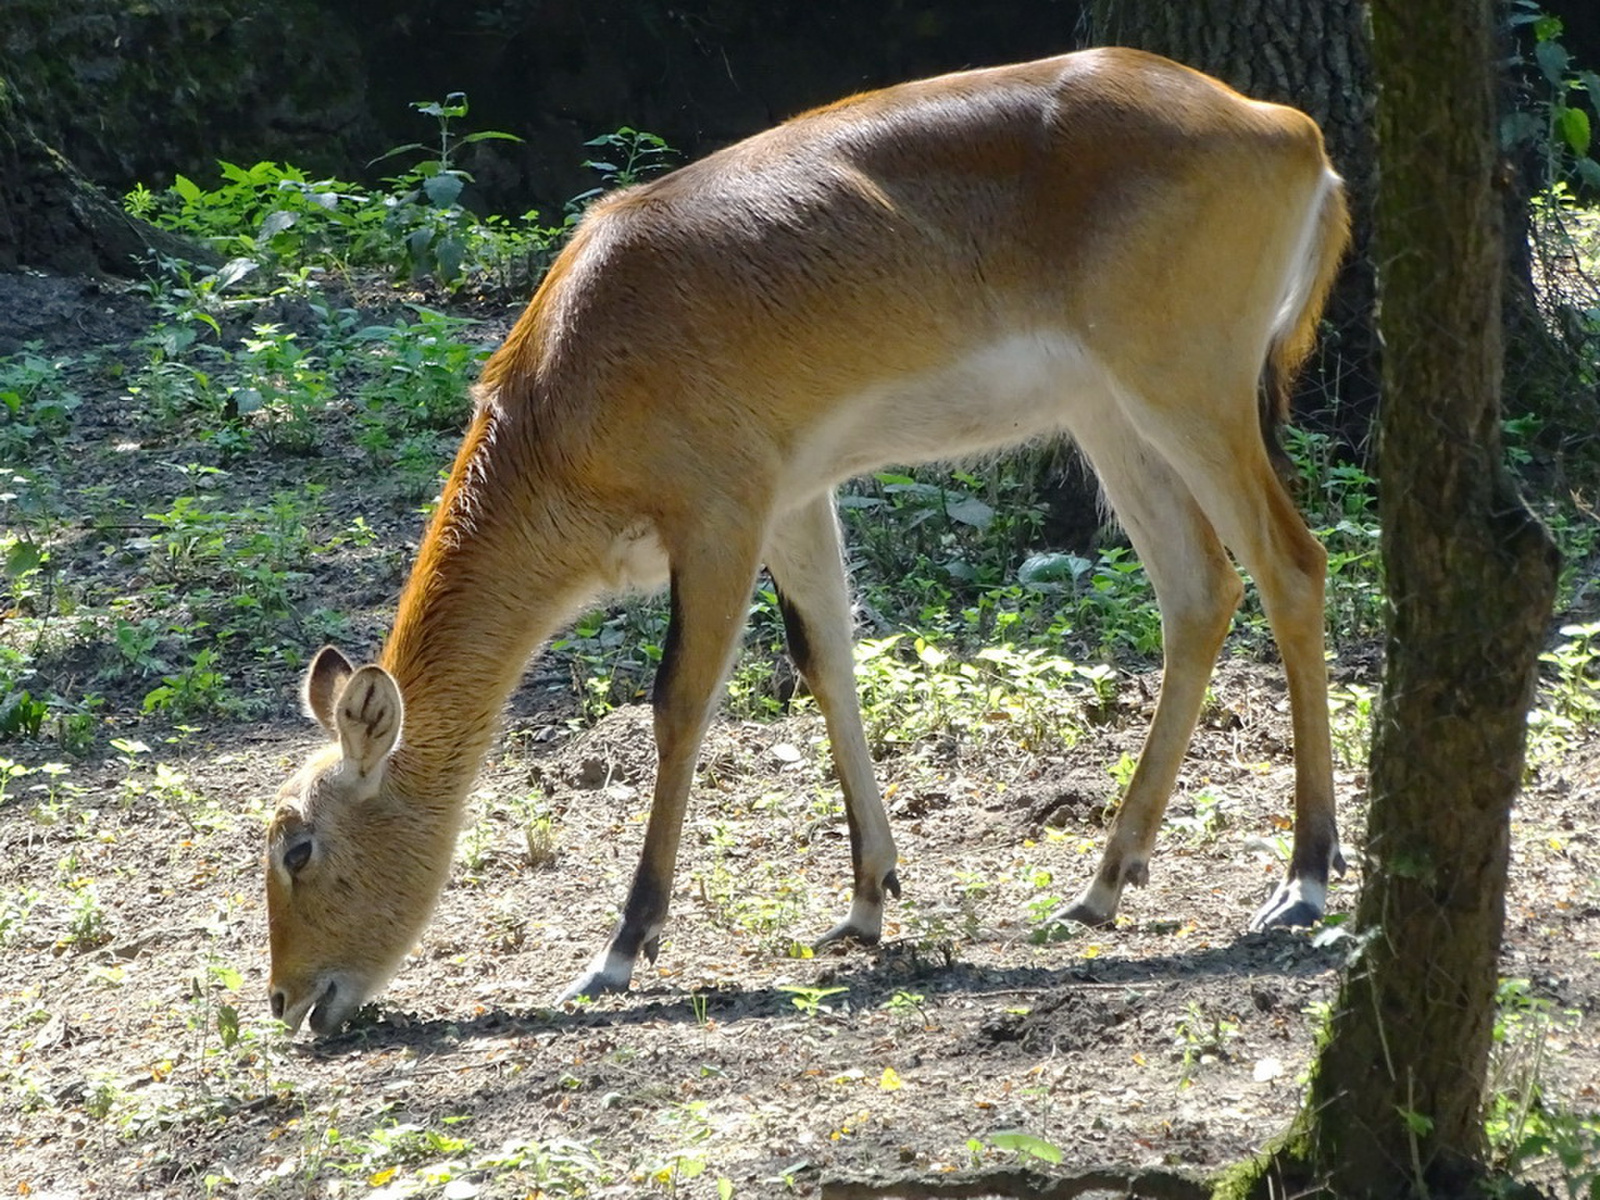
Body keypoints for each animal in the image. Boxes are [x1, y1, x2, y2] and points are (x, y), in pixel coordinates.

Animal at [265, 51, 1350, 1036]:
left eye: (298, 846)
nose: (289, 1002)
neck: (565, 386)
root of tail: (1291, 130)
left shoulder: (721, 513)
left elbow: (680, 702)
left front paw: (619, 951)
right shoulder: (795, 500)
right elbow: (826, 657)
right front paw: (867, 904)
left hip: (1189, 388)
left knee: (1292, 565)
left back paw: (1302, 881)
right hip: (1107, 412)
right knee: (1199, 588)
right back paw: (1101, 886)